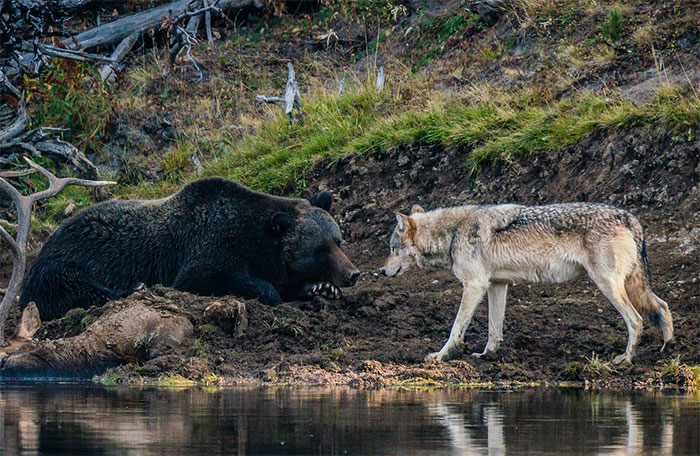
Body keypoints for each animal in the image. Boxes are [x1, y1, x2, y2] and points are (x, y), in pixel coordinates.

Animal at [19, 177, 360, 320]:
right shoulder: (208, 246)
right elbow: (206, 277)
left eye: (337, 240)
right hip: (65, 261)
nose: (352, 273)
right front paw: (272, 292)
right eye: (319, 248)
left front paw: (319, 287)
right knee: (74, 287)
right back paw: (133, 287)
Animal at [379, 202, 674, 365]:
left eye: (393, 249)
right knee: (662, 306)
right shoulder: (496, 285)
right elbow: (494, 329)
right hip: (629, 285)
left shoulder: (474, 285)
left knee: (636, 320)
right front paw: (487, 356)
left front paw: (440, 356)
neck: (453, 233)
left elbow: (456, 328)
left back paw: (626, 359)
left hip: (607, 286)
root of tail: (628, 216)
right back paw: (668, 350)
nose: (381, 270)